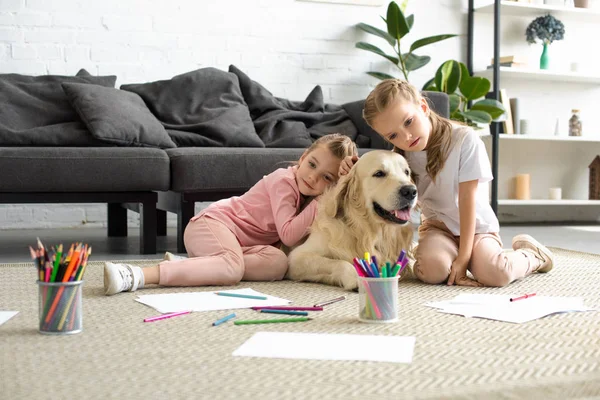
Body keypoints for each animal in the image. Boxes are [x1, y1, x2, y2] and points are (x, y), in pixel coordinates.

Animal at [286, 150, 418, 290]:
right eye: (379, 173)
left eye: (406, 172)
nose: (411, 191)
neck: (364, 230)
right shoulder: (297, 258)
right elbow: (341, 262)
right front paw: (357, 278)